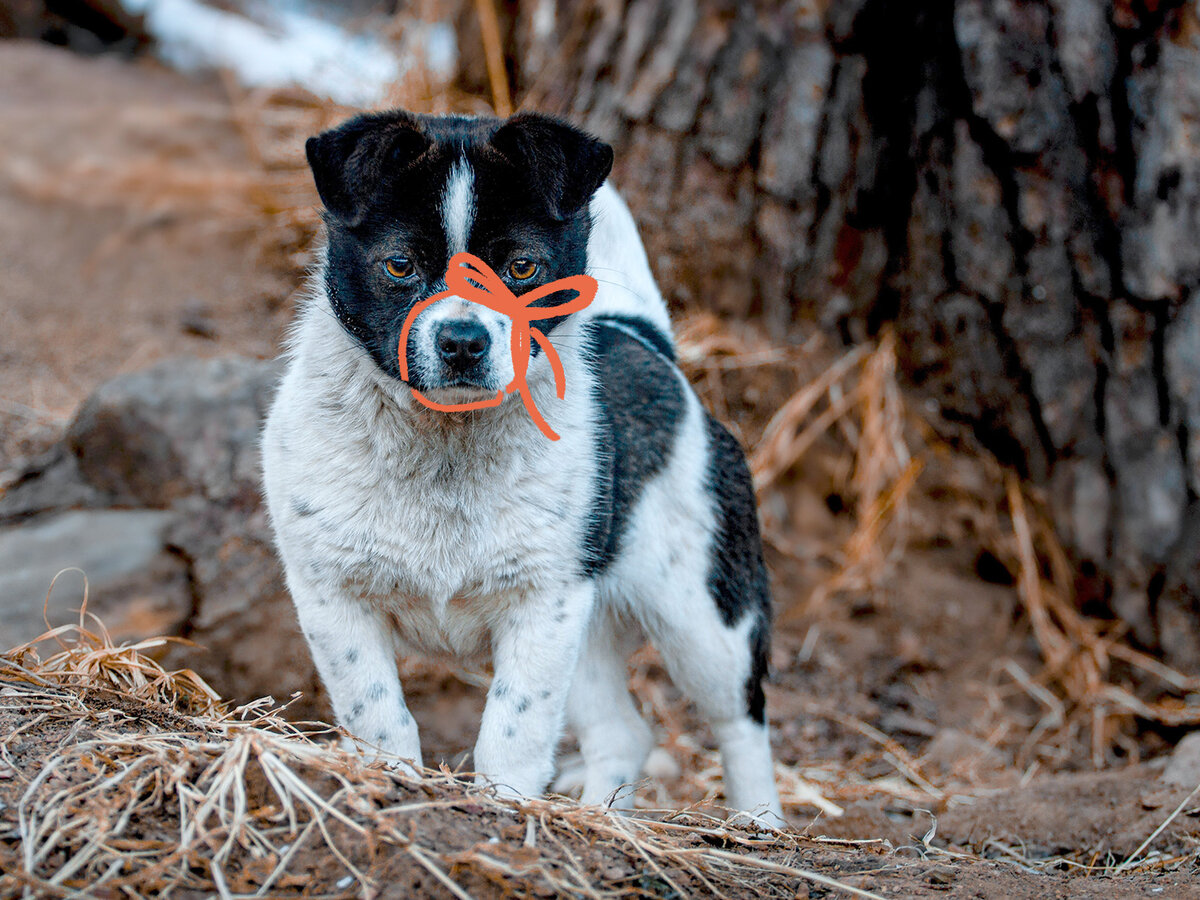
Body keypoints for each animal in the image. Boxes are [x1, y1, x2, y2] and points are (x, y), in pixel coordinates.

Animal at [261, 109, 782, 820]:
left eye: (522, 266)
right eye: (400, 265)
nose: (462, 342)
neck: (446, 445)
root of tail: (649, 344)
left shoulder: (542, 601)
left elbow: (513, 731)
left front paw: (502, 806)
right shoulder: (332, 595)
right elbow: (380, 717)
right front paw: (391, 785)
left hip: (703, 612)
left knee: (740, 722)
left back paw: (763, 829)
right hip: (591, 634)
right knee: (625, 732)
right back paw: (600, 816)